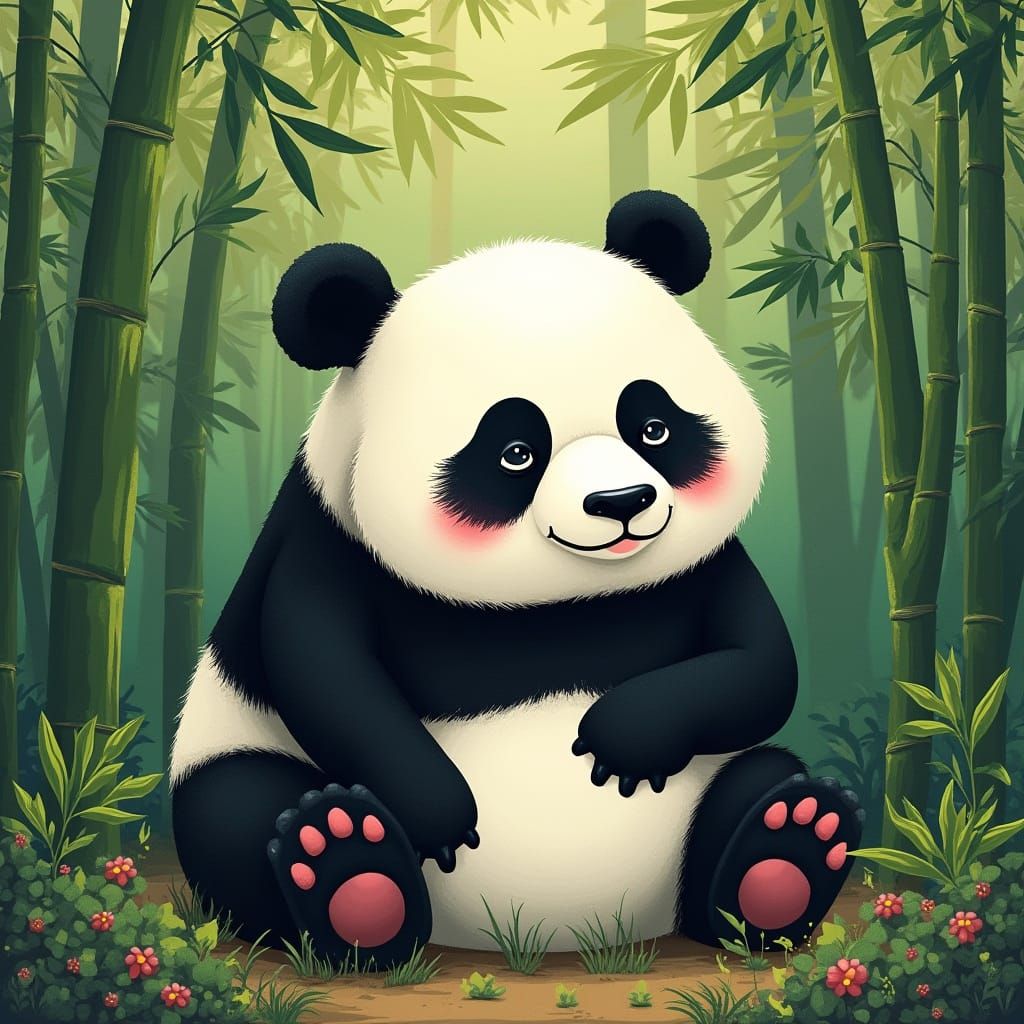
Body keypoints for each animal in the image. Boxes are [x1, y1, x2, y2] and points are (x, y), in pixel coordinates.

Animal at [170, 190, 863, 967]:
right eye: (515, 452)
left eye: (653, 427)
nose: (622, 502)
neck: (564, 600)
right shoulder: (326, 544)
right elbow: (327, 677)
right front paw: (439, 811)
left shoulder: (708, 567)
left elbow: (760, 668)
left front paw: (624, 734)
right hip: (234, 748)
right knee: (235, 808)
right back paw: (349, 870)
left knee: (765, 773)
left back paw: (787, 847)